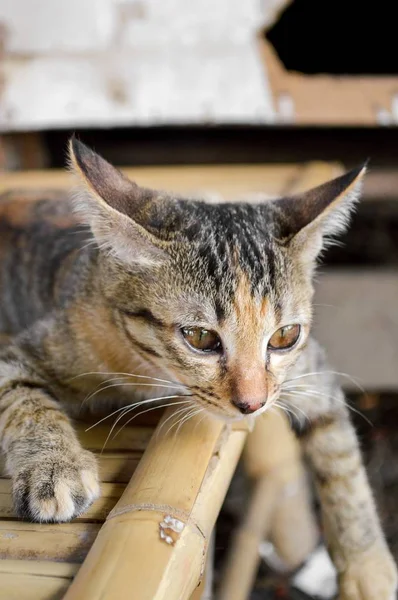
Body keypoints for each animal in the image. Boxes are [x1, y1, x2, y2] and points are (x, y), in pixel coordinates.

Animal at [0, 138, 394, 596]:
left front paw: (368, 568)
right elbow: (23, 395)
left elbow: (342, 461)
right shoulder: (26, 349)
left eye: (284, 336)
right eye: (201, 338)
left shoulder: (311, 371)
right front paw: (54, 468)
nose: (253, 404)